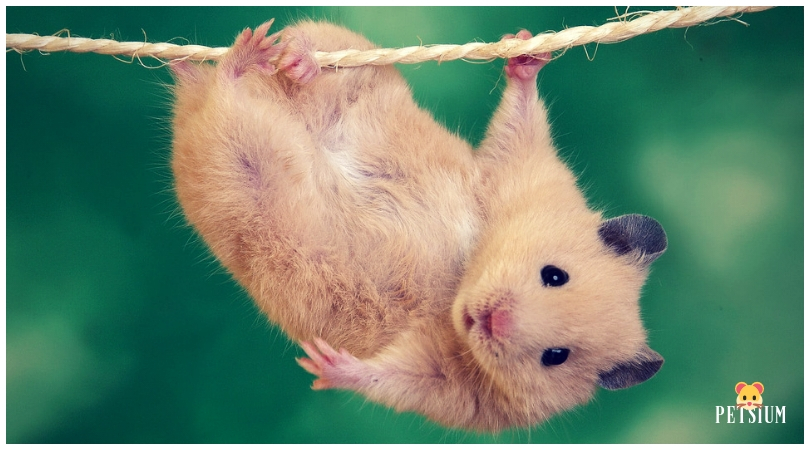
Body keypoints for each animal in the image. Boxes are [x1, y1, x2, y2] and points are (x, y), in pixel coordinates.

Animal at [169, 21, 664, 432]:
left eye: (555, 357)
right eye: (554, 275)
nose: (491, 320)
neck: (462, 280)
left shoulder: (454, 389)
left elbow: (392, 378)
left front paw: (323, 363)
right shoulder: (519, 173)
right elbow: (519, 124)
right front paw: (525, 50)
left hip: (237, 169)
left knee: (223, 102)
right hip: (356, 71)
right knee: (303, 53)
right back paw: (279, 56)